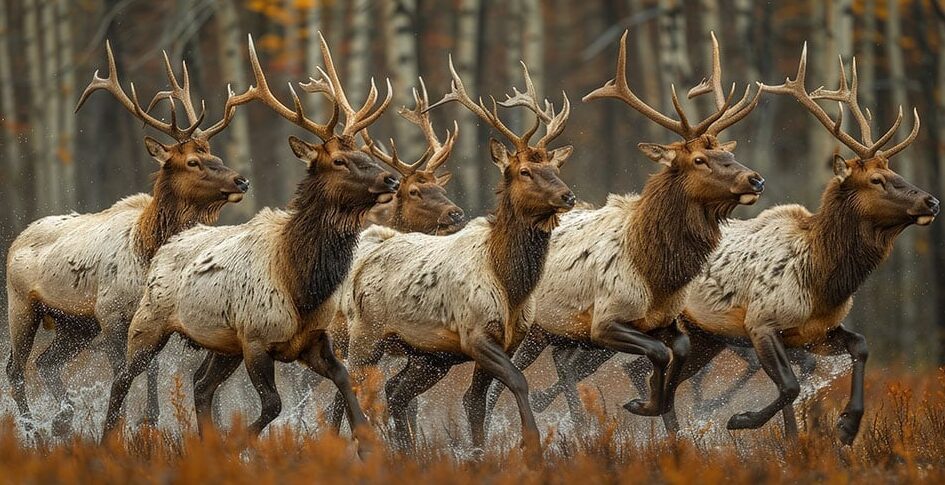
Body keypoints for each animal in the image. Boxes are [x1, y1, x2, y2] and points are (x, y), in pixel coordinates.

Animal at [5, 41, 251, 436]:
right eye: (192, 161)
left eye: (214, 154)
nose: (241, 181)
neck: (146, 248)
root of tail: (18, 238)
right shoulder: (110, 314)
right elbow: (124, 370)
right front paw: (129, 422)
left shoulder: (147, 313)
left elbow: (149, 367)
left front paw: (149, 417)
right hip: (22, 306)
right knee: (16, 369)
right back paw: (32, 429)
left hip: (75, 324)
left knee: (46, 362)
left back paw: (63, 417)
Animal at [100, 34, 396, 448]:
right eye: (339, 160)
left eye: (361, 153)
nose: (391, 178)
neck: (301, 284)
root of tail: (168, 243)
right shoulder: (255, 338)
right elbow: (273, 405)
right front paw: (236, 444)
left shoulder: (313, 340)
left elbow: (344, 380)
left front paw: (367, 446)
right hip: (148, 322)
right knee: (123, 378)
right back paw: (107, 439)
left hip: (223, 344)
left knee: (200, 385)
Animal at [341, 59, 574, 452]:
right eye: (524, 171)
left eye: (556, 168)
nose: (568, 195)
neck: (511, 285)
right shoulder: (475, 333)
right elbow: (516, 381)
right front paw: (530, 445)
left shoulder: (507, 340)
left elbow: (474, 400)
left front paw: (480, 452)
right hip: (365, 336)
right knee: (357, 387)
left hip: (429, 356)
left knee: (397, 393)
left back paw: (406, 452)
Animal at [484, 31, 765, 428]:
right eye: (699, 159)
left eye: (729, 154)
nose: (755, 179)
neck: (657, 270)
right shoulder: (607, 319)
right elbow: (659, 354)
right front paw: (643, 406)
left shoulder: (660, 321)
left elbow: (675, 351)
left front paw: (655, 408)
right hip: (539, 328)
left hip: (568, 335)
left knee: (557, 366)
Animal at [641, 45, 936, 445]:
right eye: (876, 179)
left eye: (895, 172)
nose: (931, 201)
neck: (822, 280)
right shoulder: (762, 322)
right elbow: (790, 386)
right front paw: (743, 420)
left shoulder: (814, 331)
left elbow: (860, 345)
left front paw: (845, 427)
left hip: (706, 338)